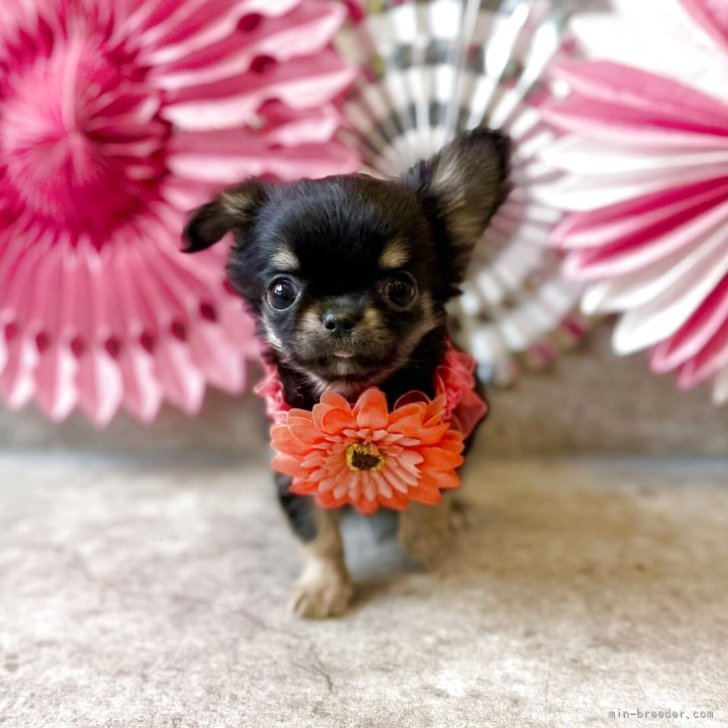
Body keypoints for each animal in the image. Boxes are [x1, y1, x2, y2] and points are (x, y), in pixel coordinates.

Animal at [183, 129, 509, 618]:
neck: (353, 395)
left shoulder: (447, 429)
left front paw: (427, 541)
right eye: (281, 291)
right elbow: (317, 535)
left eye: (400, 289)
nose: (339, 317)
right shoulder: (293, 463)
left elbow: (432, 486)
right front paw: (324, 587)